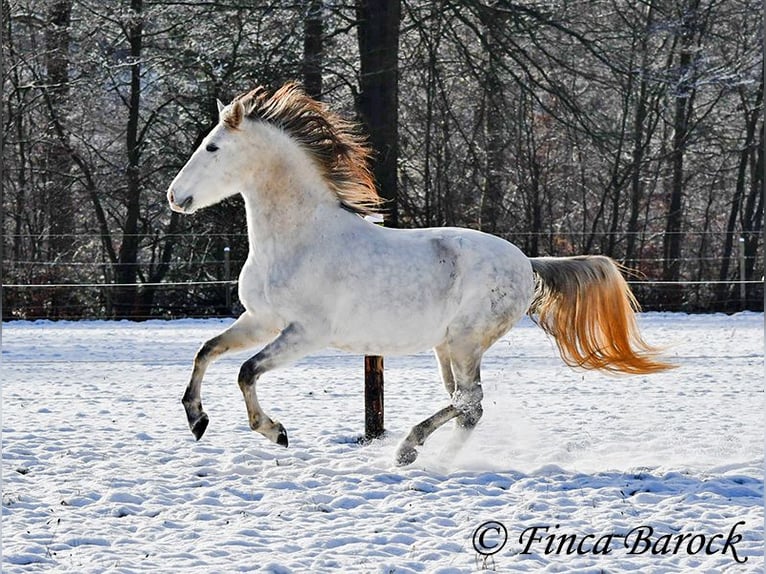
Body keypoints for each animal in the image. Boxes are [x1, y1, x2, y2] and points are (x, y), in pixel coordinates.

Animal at [168, 82, 672, 468]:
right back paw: (425, 456)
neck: (301, 238)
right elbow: (207, 351)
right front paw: (196, 419)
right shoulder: (262, 320)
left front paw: (274, 432)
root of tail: (527, 263)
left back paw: (414, 452)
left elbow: (246, 372)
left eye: (212, 147)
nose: (175, 197)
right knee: (467, 406)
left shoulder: (306, 333)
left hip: (466, 342)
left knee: (471, 403)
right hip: (446, 347)